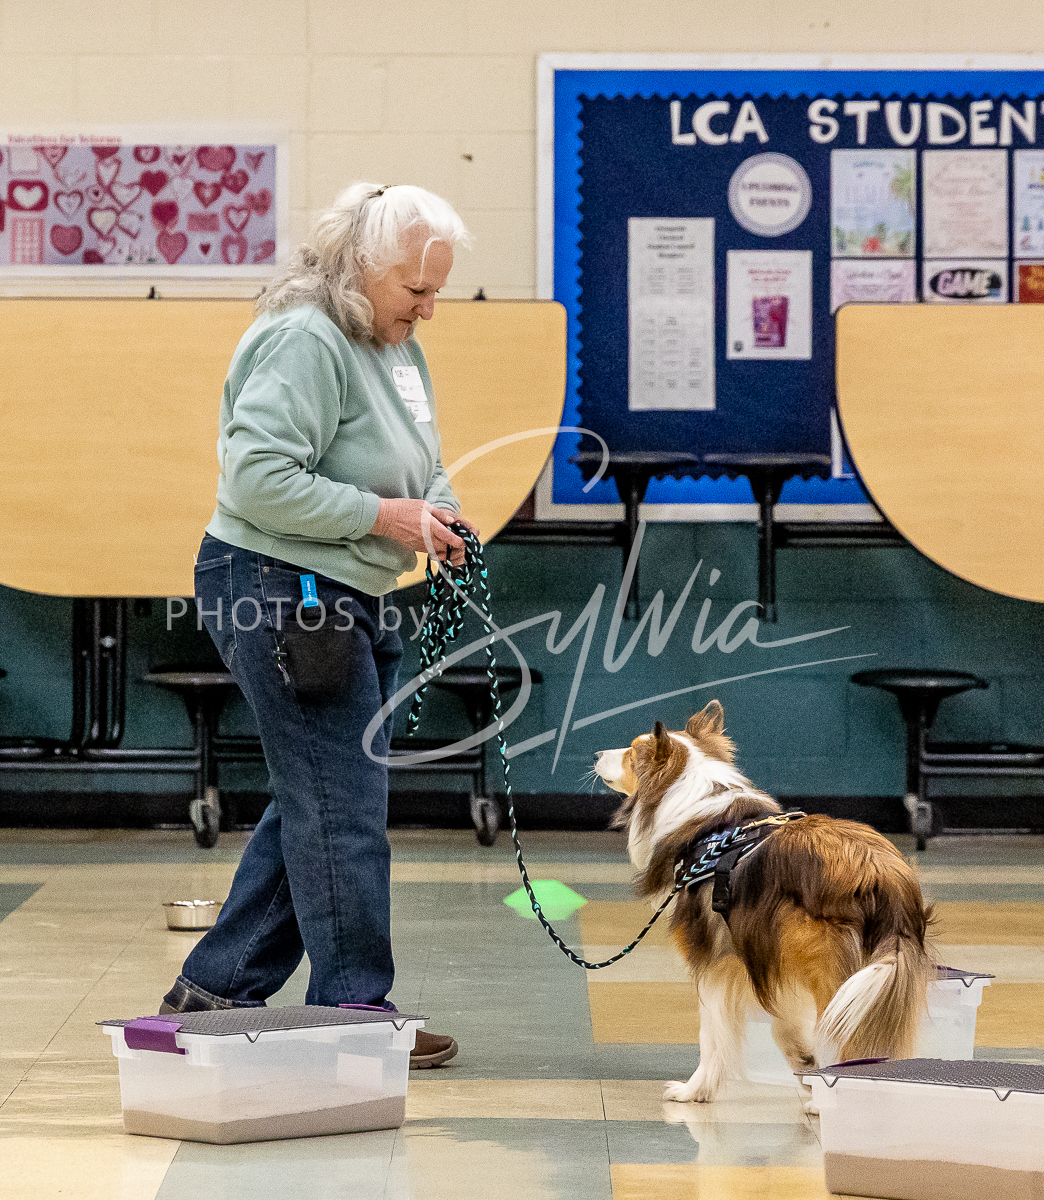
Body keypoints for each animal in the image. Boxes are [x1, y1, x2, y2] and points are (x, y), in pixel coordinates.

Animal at [594, 699, 934, 1111]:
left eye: (631, 751)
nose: (596, 754)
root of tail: (881, 871)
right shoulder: (769, 963)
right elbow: (785, 1029)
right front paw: (804, 1066)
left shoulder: (716, 961)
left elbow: (713, 1034)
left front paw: (695, 1090)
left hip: (837, 979)